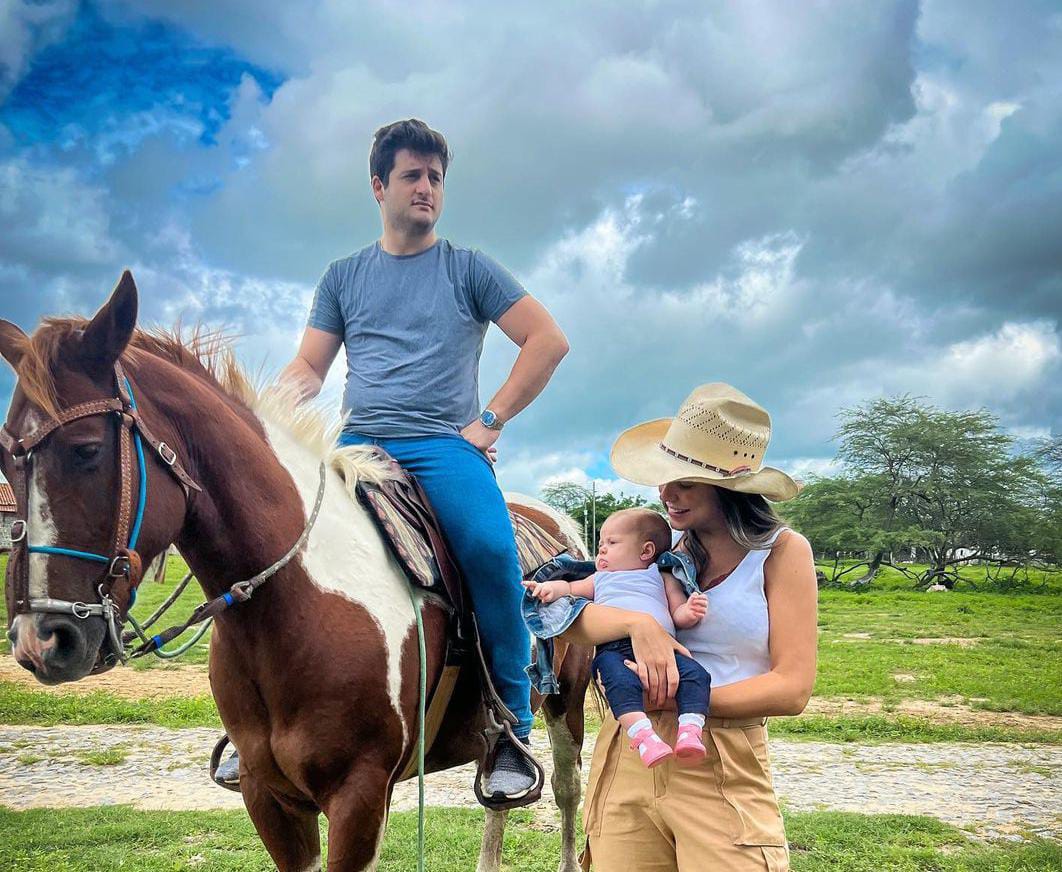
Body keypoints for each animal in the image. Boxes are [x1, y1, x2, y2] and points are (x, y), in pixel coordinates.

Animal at [0, 274, 590, 870]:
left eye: (87, 450)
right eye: (6, 459)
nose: (41, 641)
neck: (296, 603)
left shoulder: (360, 795)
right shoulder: (267, 794)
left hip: (567, 701)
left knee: (566, 792)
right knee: (497, 806)